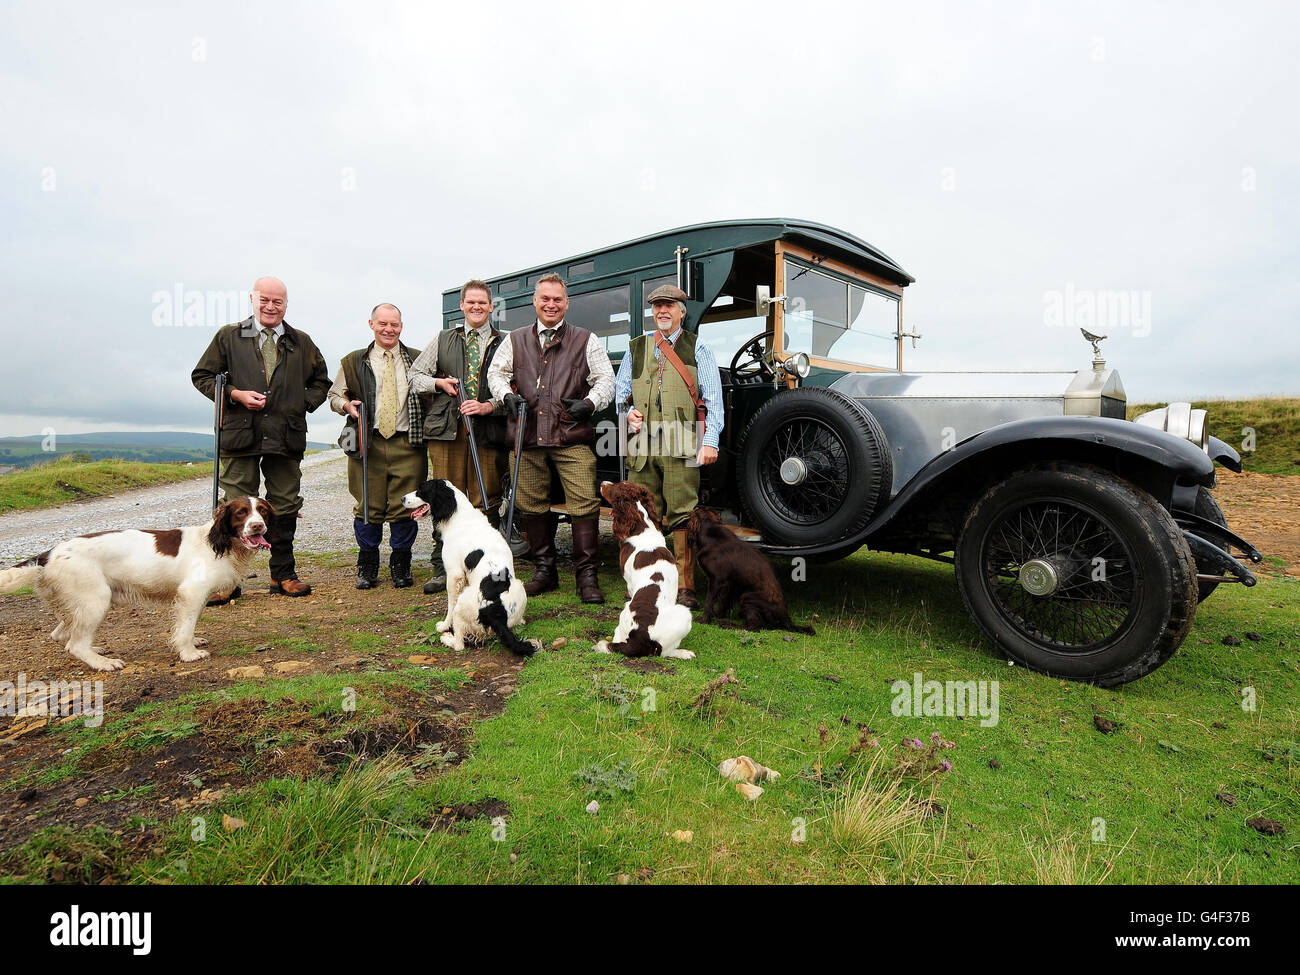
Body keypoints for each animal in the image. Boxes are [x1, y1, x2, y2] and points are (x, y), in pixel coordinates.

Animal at [691, 506, 811, 637]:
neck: (711, 531)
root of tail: (785, 617)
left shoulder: (716, 580)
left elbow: (709, 601)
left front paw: (704, 619)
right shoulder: (731, 585)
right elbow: (724, 602)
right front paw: (717, 615)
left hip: (748, 598)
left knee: (754, 627)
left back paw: (728, 625)